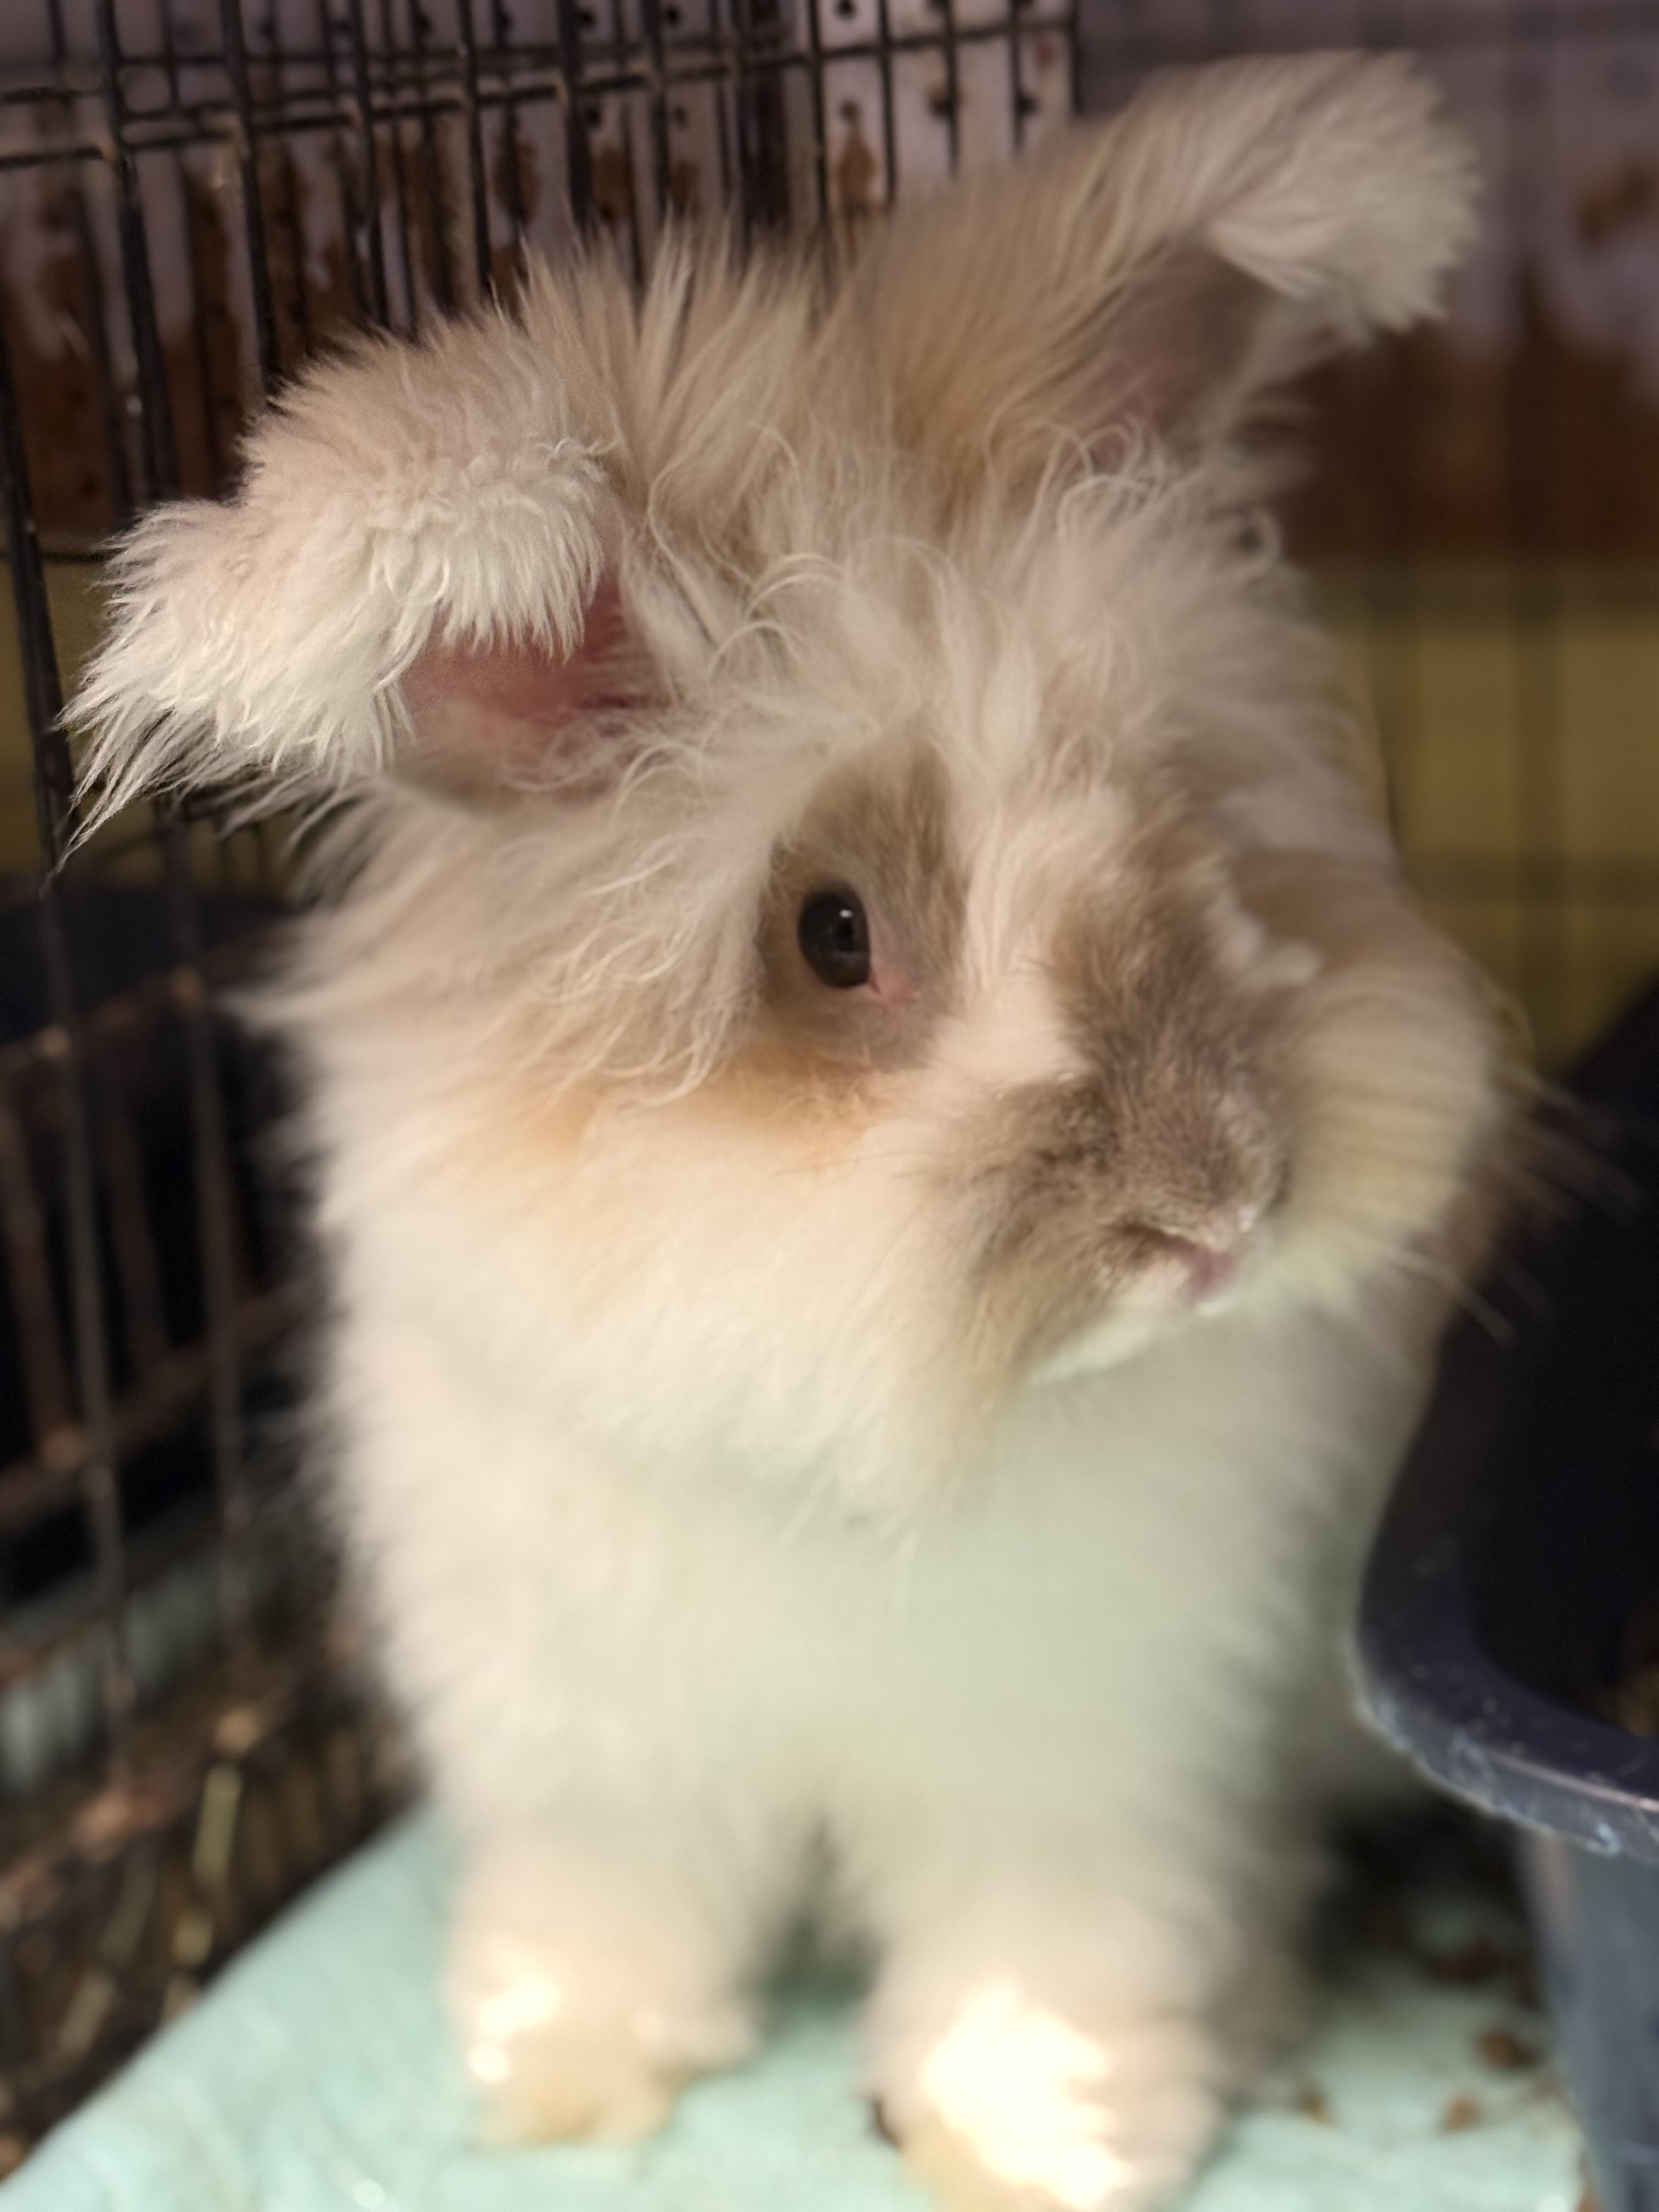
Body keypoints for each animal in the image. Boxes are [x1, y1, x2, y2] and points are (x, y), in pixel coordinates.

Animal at [70, 50, 1513, 2212]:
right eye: (835, 935)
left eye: (1180, 824)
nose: (1217, 1213)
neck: (835, 1461)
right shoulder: (590, 1759)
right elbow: (612, 1915)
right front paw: (560, 2077)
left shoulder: (1082, 1775)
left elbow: (1043, 1961)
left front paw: (1034, 2139)